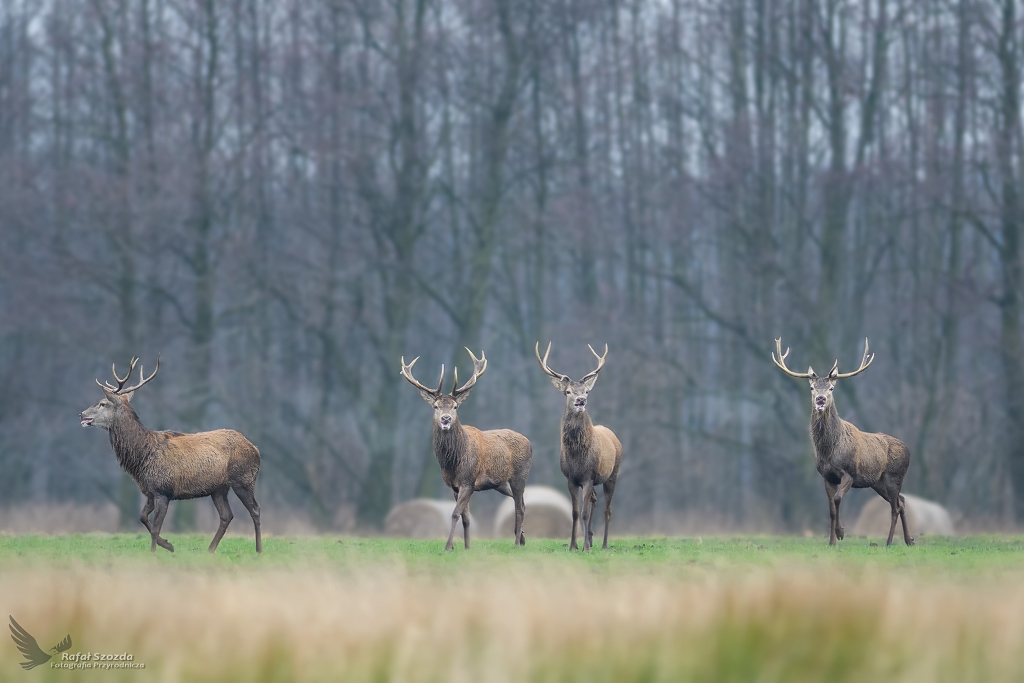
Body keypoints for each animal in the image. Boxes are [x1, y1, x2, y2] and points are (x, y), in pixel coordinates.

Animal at [80, 358, 264, 557]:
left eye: (102, 403)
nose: (81, 413)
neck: (141, 458)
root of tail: (256, 449)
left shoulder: (163, 490)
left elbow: (155, 528)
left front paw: (156, 552)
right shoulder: (150, 491)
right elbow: (142, 517)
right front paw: (168, 545)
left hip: (244, 479)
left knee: (255, 509)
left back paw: (259, 549)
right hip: (219, 488)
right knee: (226, 515)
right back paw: (210, 549)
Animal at [399, 348, 532, 548]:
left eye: (455, 406)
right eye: (436, 406)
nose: (445, 419)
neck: (453, 461)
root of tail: (530, 443)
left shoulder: (468, 480)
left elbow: (455, 513)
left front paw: (448, 546)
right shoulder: (453, 486)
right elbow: (466, 518)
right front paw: (466, 547)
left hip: (519, 475)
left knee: (519, 508)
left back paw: (516, 543)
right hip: (501, 483)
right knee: (521, 503)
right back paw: (522, 539)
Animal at [536, 342, 622, 548]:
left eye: (586, 391)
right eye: (568, 391)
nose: (581, 400)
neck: (577, 456)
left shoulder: (588, 476)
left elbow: (584, 512)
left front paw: (584, 548)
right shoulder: (571, 478)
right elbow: (575, 513)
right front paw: (573, 545)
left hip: (613, 473)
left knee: (607, 510)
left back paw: (604, 544)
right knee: (595, 501)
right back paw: (591, 538)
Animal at [774, 339, 913, 548]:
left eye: (831, 388)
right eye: (812, 388)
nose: (821, 399)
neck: (829, 449)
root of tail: (908, 450)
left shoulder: (849, 473)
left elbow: (839, 499)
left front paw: (841, 533)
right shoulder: (827, 476)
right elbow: (831, 508)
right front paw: (832, 541)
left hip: (894, 476)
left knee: (895, 506)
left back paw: (889, 542)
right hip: (878, 482)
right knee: (902, 501)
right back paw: (909, 540)